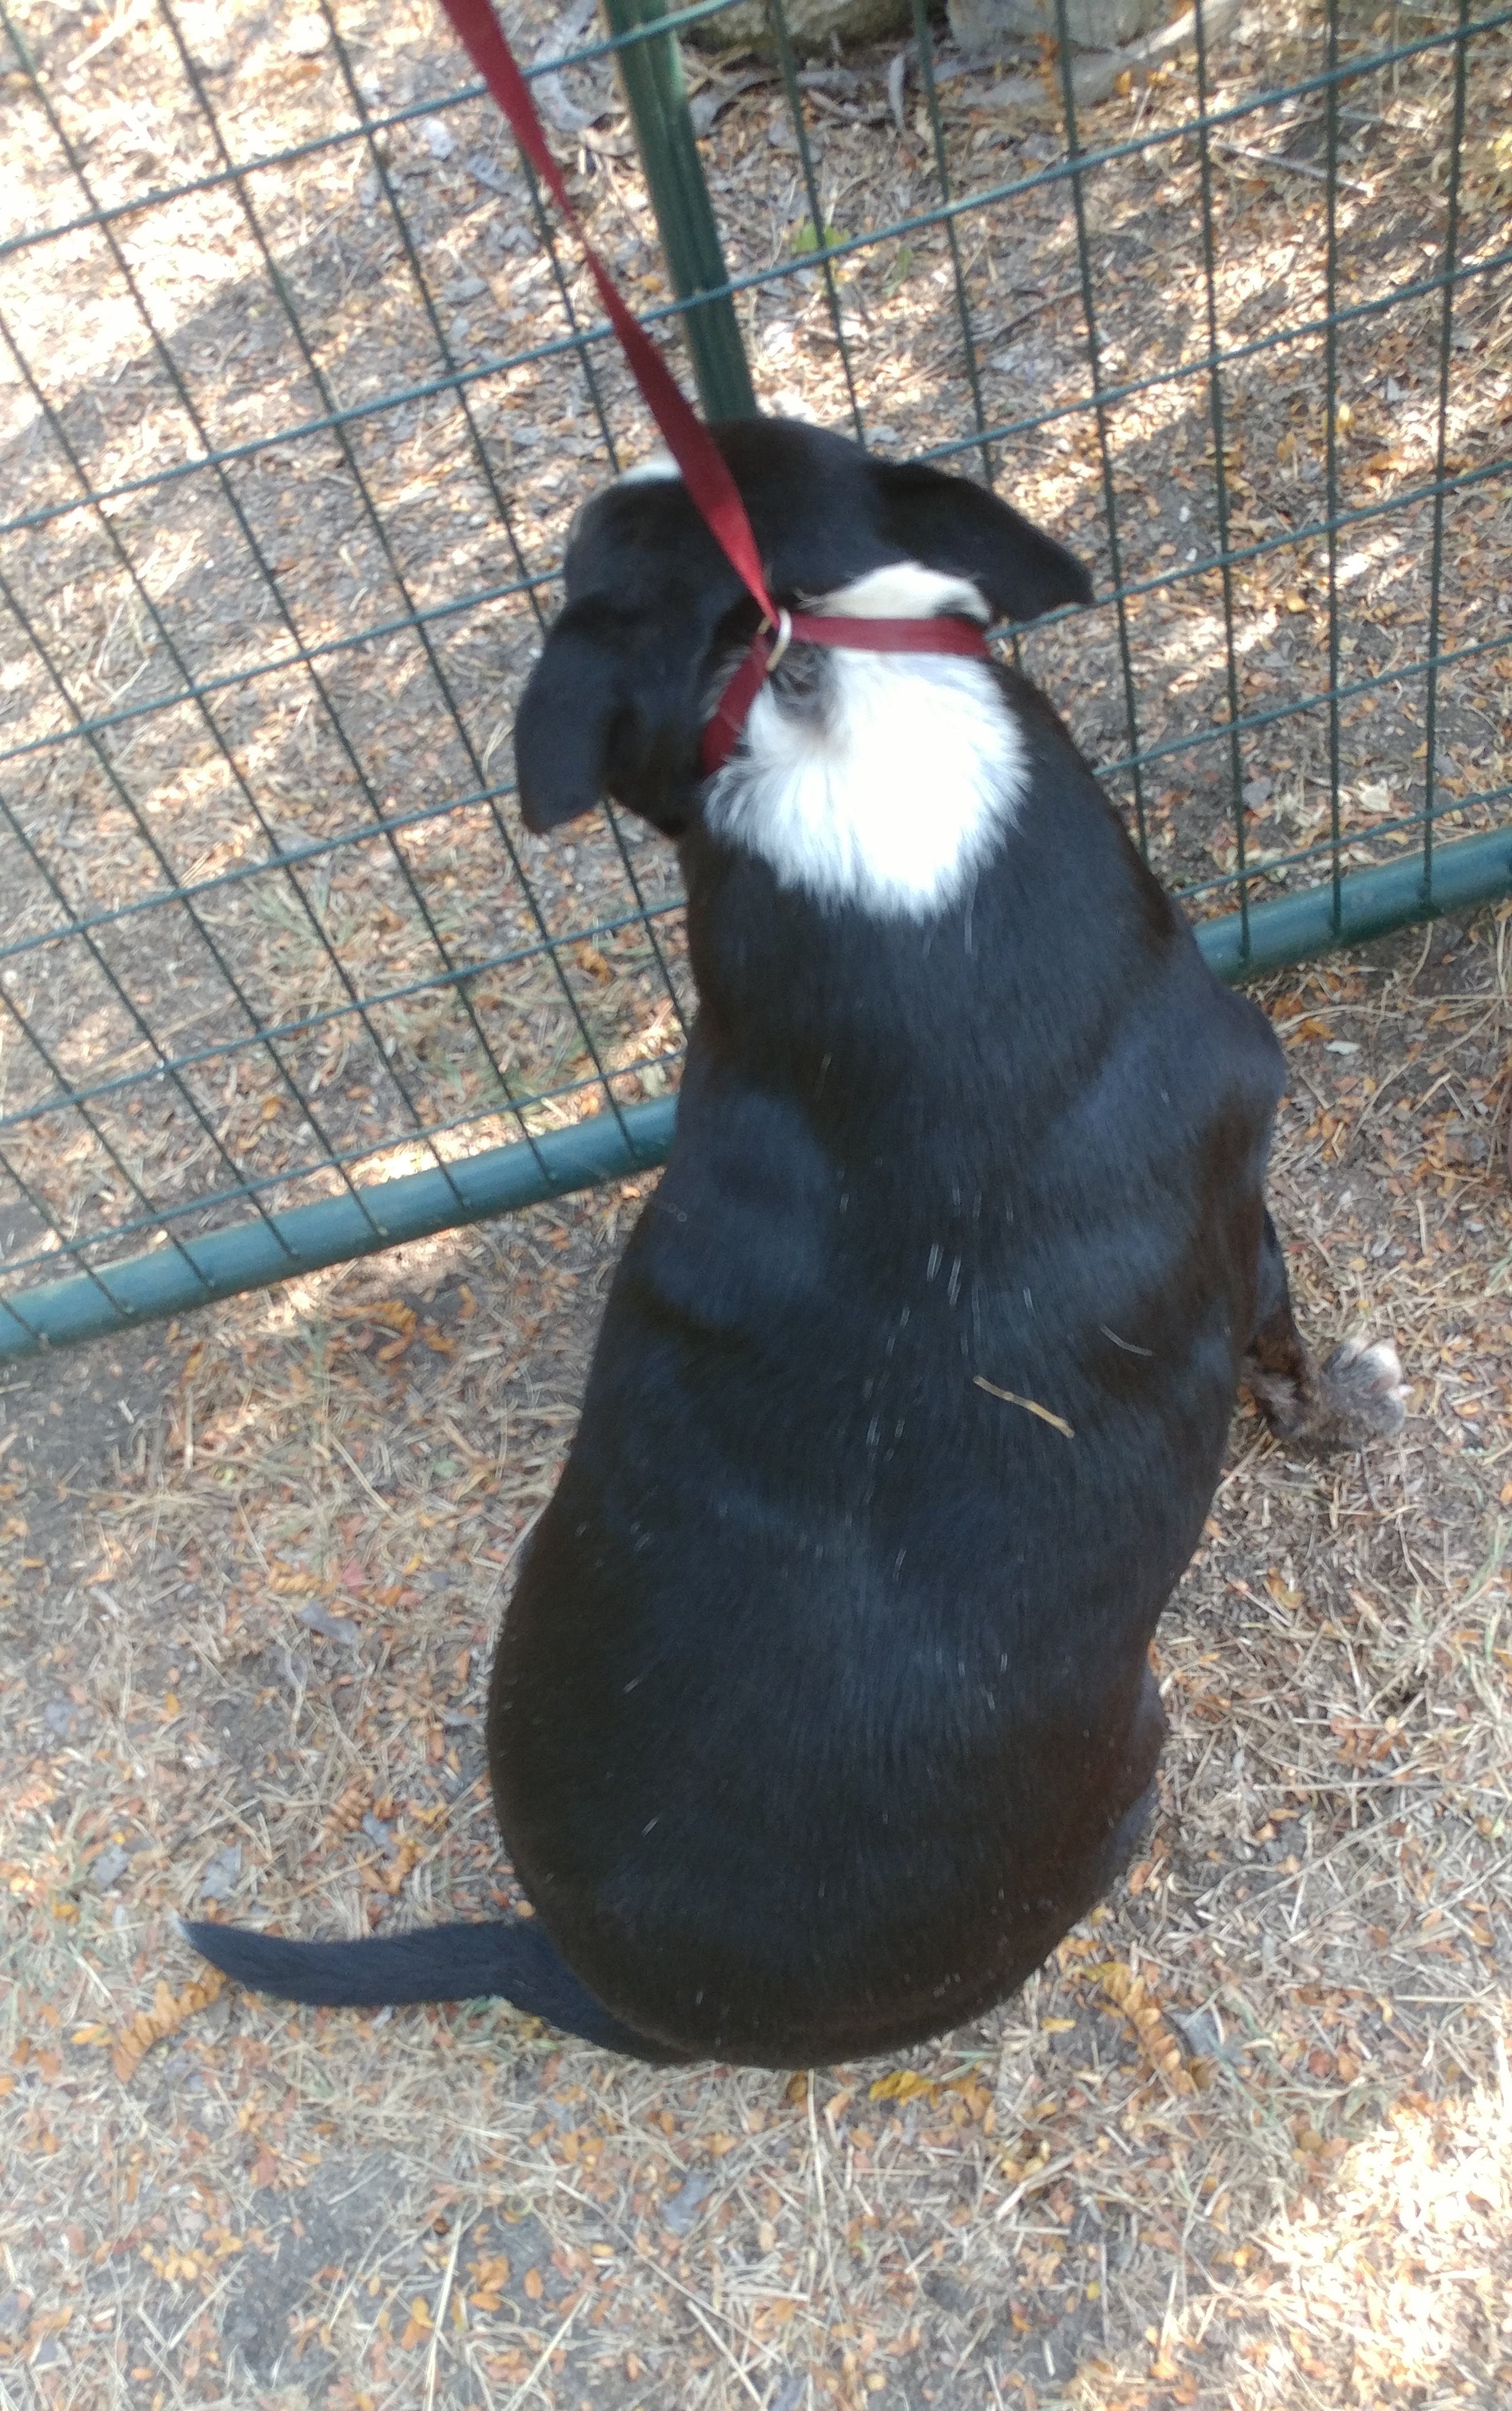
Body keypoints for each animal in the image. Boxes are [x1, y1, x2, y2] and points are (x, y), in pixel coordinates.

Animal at [189, 424, 1408, 2064]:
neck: (819, 725)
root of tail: (598, 1983)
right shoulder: (1245, 1213)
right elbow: (1283, 1352)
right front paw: (1342, 1411)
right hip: (1135, 1754)